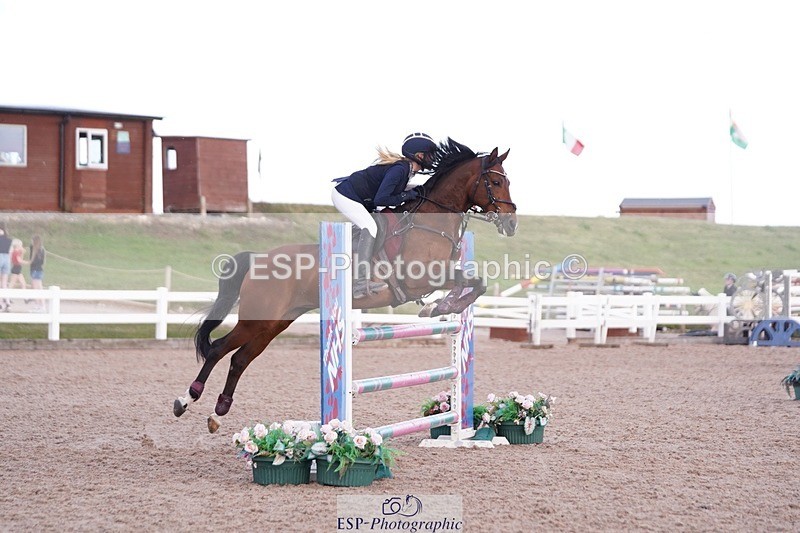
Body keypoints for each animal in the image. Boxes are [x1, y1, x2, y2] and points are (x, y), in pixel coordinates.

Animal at [173, 138, 518, 432]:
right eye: (495, 182)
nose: (512, 223)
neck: (431, 221)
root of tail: (259, 259)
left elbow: (475, 282)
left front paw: (442, 306)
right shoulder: (421, 277)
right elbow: (473, 282)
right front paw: (440, 306)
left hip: (276, 322)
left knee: (240, 359)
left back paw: (219, 411)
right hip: (258, 319)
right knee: (218, 349)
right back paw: (185, 399)